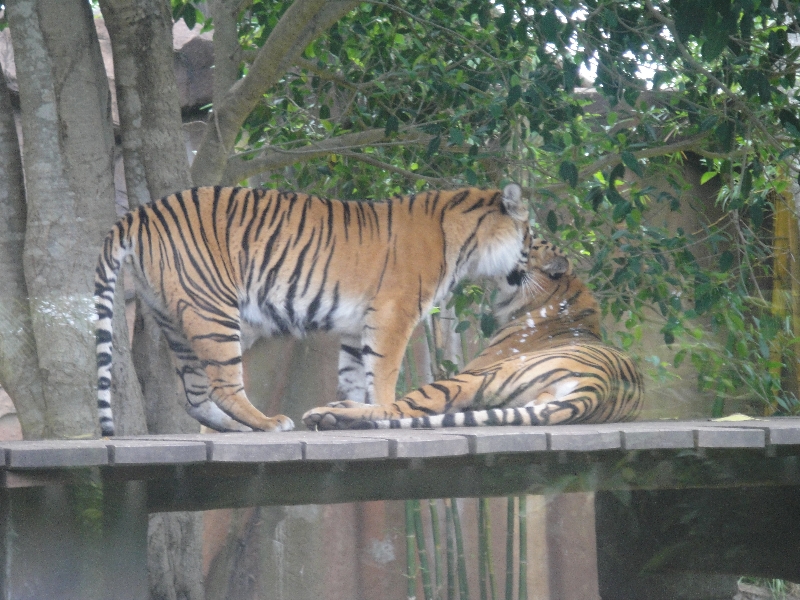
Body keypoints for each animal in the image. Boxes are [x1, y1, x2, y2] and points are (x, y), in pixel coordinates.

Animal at [95, 184, 532, 436]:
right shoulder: (394, 312)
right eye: (531, 234)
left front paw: (349, 413)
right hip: (212, 308)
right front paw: (386, 411)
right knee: (223, 385)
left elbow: (354, 375)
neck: (467, 244)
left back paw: (237, 428)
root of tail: (143, 211)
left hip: (171, 316)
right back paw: (268, 423)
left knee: (194, 395)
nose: (536, 266)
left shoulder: (359, 325)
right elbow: (384, 373)